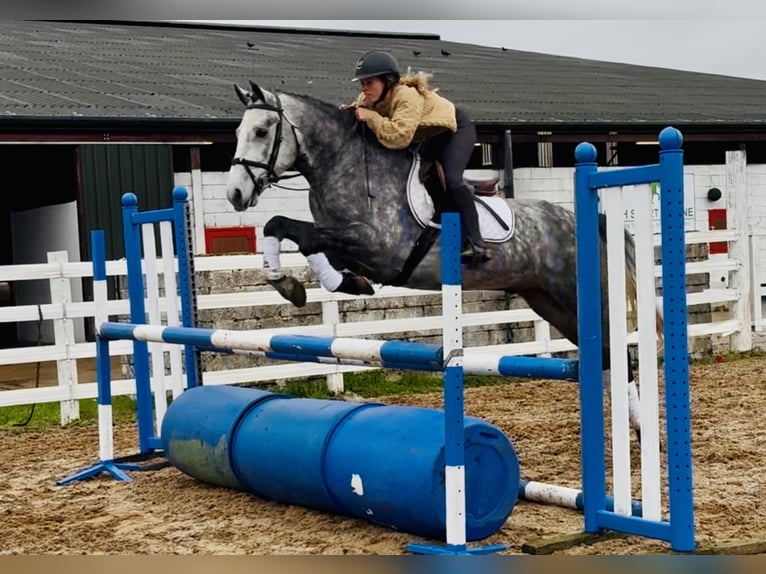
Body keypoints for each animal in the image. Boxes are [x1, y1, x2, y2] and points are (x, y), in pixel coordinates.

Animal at [225, 81, 662, 434]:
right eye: (237, 132)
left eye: (261, 131)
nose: (235, 195)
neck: (345, 166)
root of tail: (580, 220)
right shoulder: (345, 244)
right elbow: (287, 231)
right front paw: (303, 285)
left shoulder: (375, 247)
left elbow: (292, 230)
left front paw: (299, 284)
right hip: (548, 301)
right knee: (604, 359)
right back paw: (636, 429)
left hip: (577, 296)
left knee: (617, 355)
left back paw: (641, 432)